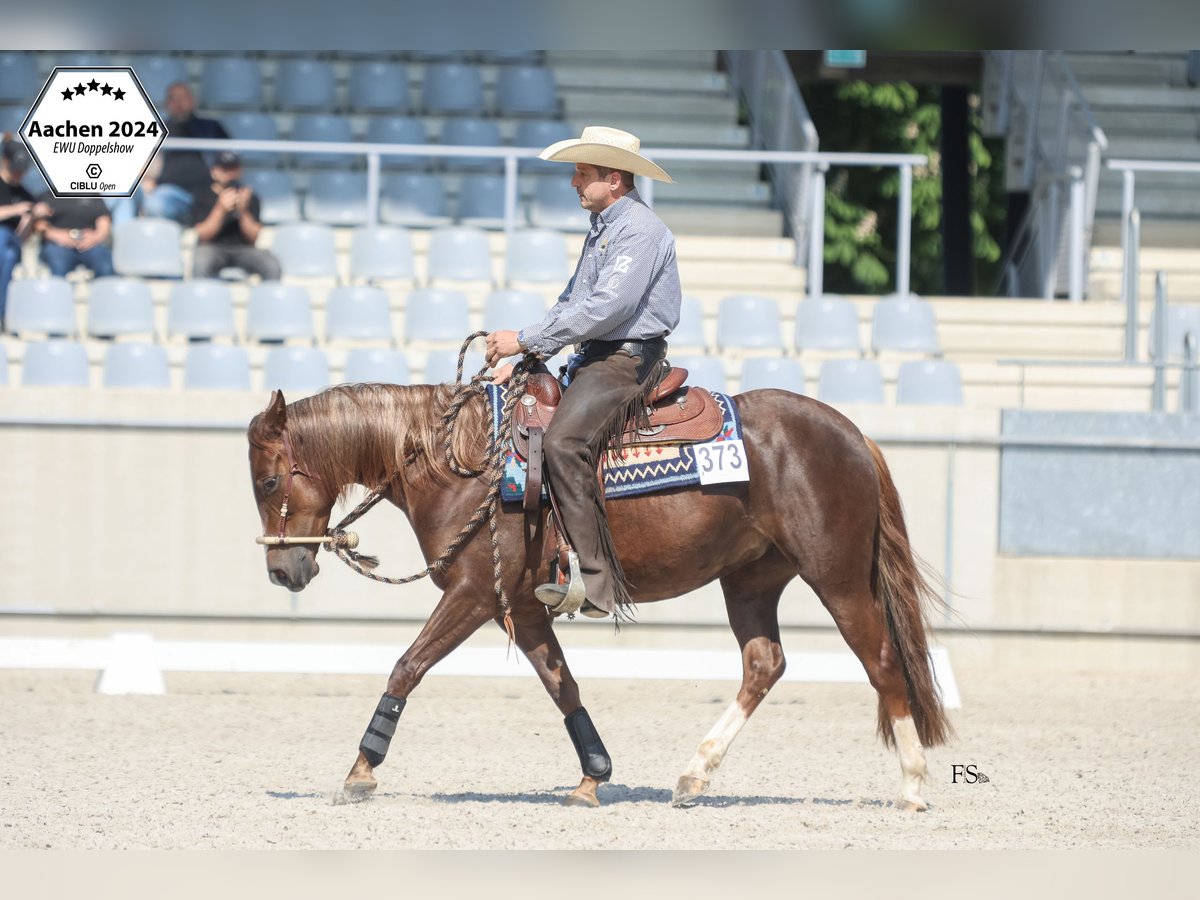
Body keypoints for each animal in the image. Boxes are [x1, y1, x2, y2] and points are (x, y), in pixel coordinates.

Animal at [243, 376, 950, 816]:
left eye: (269, 479)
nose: (281, 570)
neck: (460, 463)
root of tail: (851, 433)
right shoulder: (523, 608)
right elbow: (565, 687)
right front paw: (593, 777)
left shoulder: (473, 595)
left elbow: (406, 667)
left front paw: (360, 772)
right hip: (751, 581)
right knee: (763, 664)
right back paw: (694, 774)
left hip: (836, 577)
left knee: (882, 662)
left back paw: (913, 786)